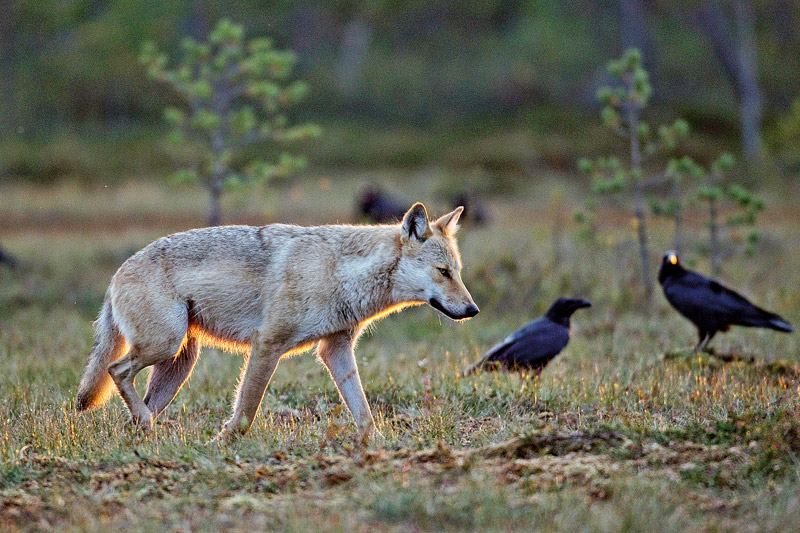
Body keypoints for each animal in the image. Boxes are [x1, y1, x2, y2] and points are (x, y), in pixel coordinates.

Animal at [75, 202, 478, 438]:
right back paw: (145, 425)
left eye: (458, 272)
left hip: (177, 363)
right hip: (164, 347)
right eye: (443, 272)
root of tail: (116, 274)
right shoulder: (267, 345)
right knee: (115, 370)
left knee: (130, 405)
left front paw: (376, 449)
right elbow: (245, 412)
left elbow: (364, 414)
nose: (473, 310)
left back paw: (143, 434)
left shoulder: (335, 351)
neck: (340, 273)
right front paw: (224, 443)